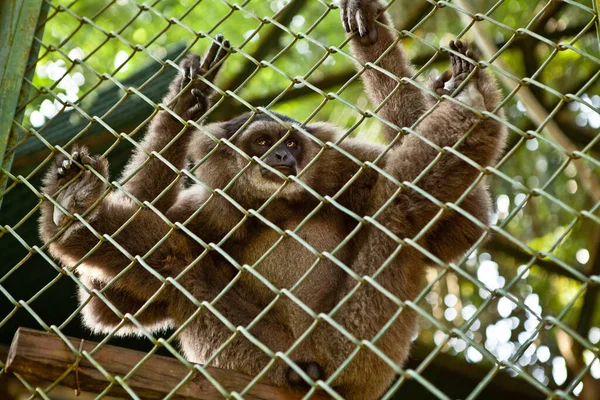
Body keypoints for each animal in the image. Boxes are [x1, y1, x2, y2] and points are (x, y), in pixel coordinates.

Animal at [37, 0, 506, 396]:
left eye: (290, 142)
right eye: (263, 142)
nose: (282, 156)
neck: (276, 207)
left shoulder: (348, 167)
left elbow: (460, 223)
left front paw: (369, 29)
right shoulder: (203, 209)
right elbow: (110, 306)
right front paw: (185, 104)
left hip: (357, 348)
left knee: (397, 210)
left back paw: (469, 101)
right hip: (257, 359)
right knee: (181, 264)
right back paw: (72, 211)